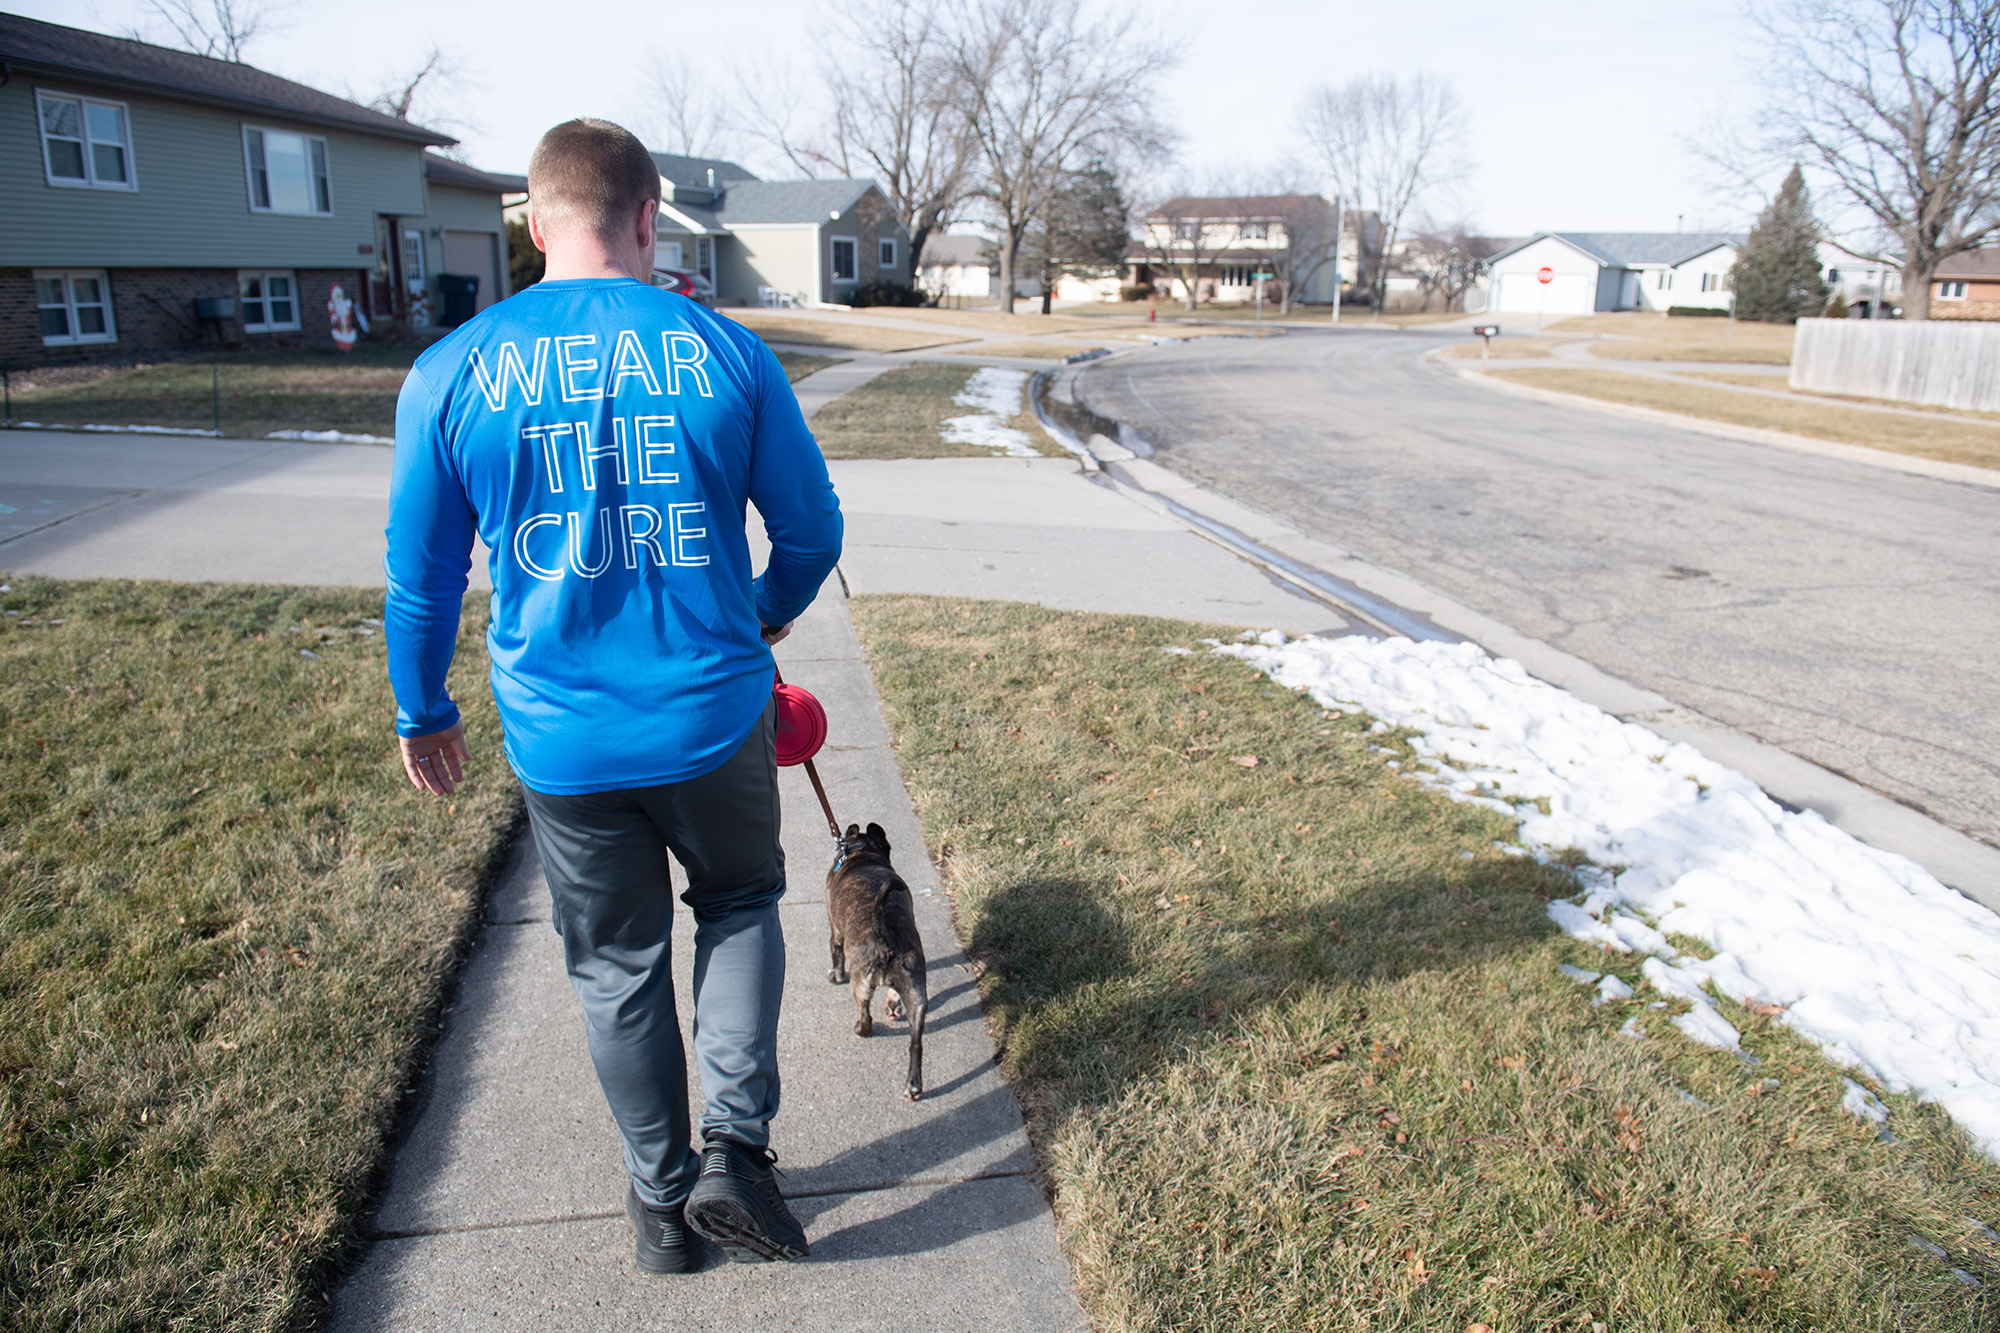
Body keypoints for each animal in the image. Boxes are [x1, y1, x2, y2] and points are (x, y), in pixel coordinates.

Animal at [820, 820, 928, 1096]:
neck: (863, 852)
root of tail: (886, 939)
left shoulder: (835, 933)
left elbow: (836, 958)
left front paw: (835, 976)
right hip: (916, 995)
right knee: (916, 1042)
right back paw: (913, 1084)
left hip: (860, 985)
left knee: (866, 1015)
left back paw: (861, 1030)